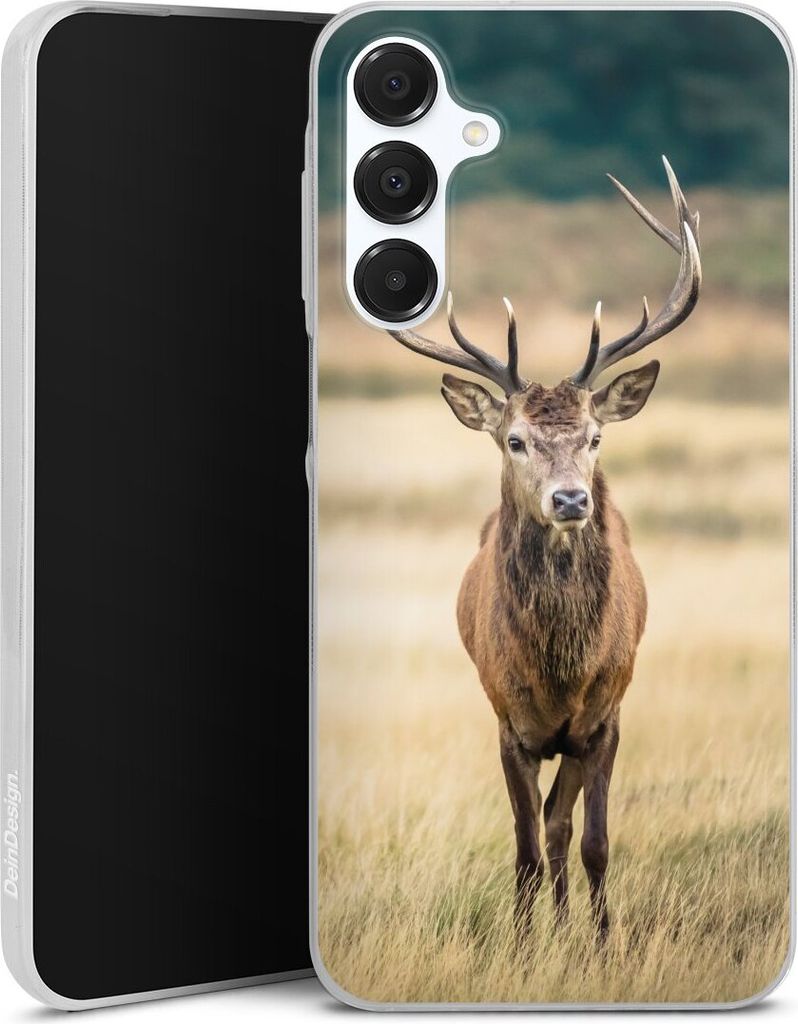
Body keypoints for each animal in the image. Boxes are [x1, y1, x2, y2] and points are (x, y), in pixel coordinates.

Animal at [385, 157, 701, 938]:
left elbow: (592, 841)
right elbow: (525, 847)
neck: (561, 668)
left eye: (595, 437)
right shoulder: (507, 720)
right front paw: (525, 946)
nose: (570, 500)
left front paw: (601, 942)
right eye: (516, 440)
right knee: (543, 831)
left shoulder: (607, 716)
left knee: (563, 826)